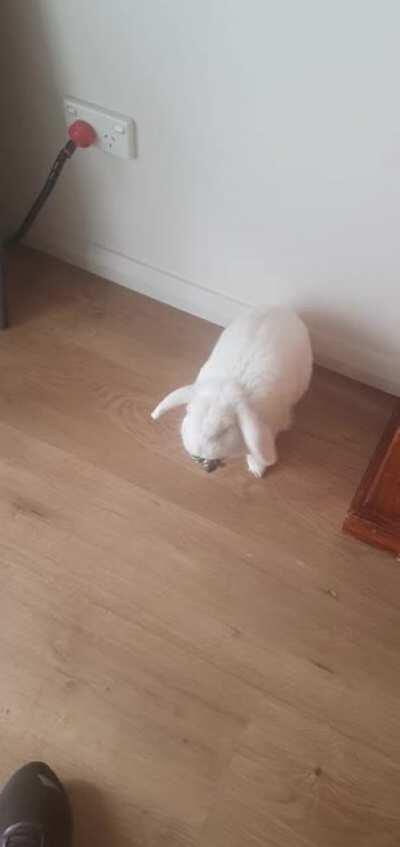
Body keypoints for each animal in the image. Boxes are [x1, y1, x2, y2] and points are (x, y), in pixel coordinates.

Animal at [151, 307, 313, 477]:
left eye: (225, 429)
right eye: (189, 413)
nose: (199, 454)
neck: (229, 386)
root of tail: (280, 310)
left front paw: (257, 468)